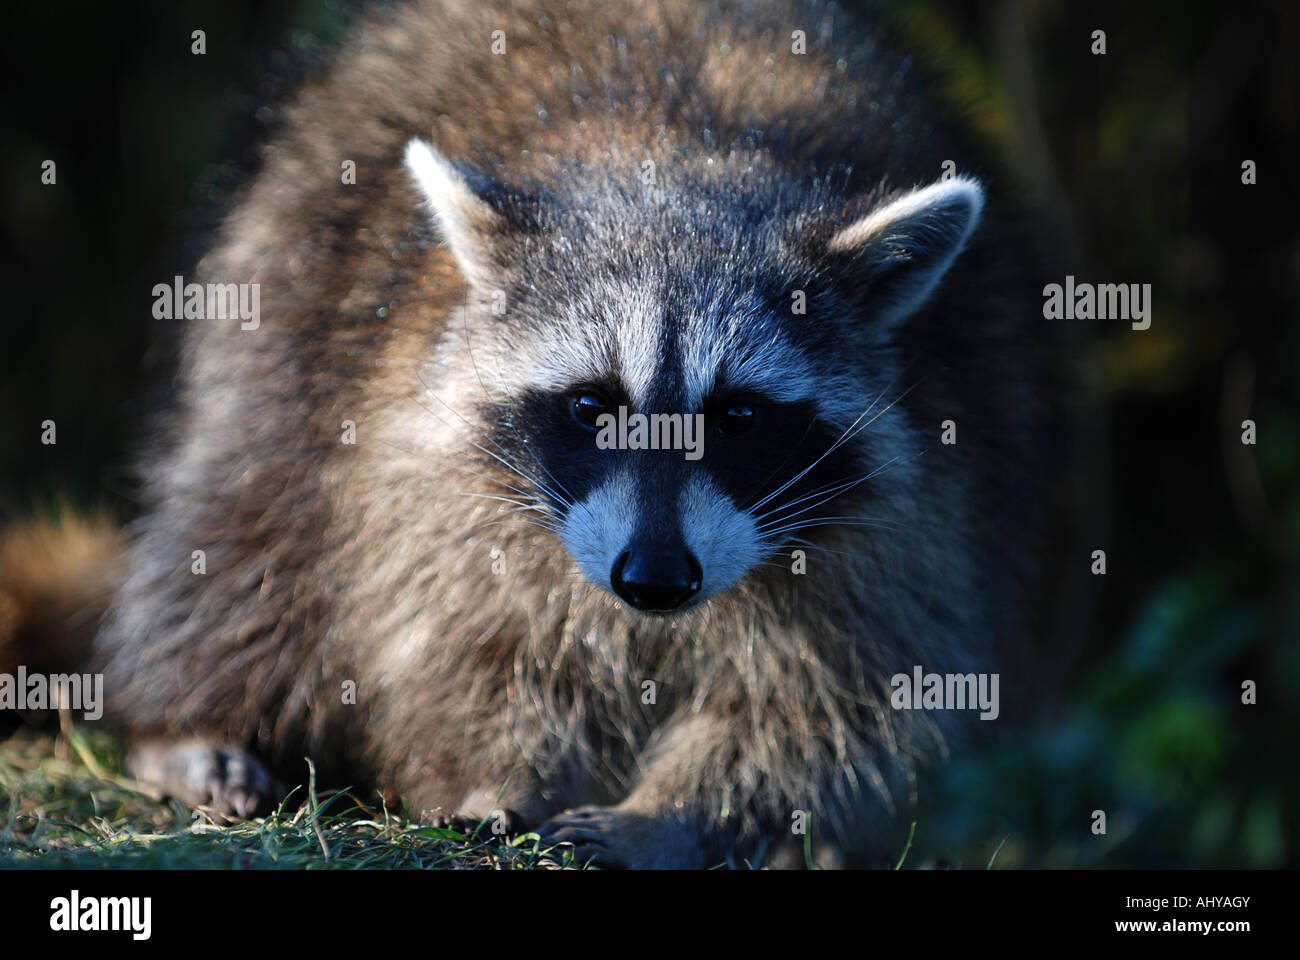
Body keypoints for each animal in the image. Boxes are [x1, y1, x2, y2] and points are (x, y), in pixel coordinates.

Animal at [91, 0, 1059, 867]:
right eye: (594, 406)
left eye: (738, 415)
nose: (656, 579)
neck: (679, 155)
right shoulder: (425, 467)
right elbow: (458, 641)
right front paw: (494, 770)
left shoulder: (913, 514)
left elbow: (831, 707)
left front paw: (678, 817)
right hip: (289, 304)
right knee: (249, 532)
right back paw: (185, 718)